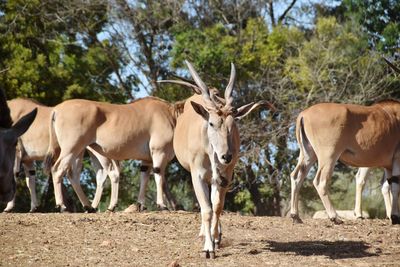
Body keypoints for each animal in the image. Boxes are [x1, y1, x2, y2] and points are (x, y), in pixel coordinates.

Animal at [43, 97, 179, 213]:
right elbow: (158, 176)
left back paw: (89, 207)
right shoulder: (159, 152)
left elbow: (144, 177)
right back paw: (62, 206)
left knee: (74, 174)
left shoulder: (147, 160)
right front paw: (162, 205)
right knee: (57, 170)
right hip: (71, 149)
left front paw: (141, 205)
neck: (171, 114)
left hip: (79, 151)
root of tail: (56, 110)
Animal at [158, 61, 270, 260]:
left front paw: (216, 239)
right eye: (211, 123)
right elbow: (207, 209)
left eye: (233, 124)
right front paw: (208, 247)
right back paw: (204, 233)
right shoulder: (198, 176)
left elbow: (217, 206)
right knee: (205, 206)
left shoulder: (226, 176)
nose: (226, 156)